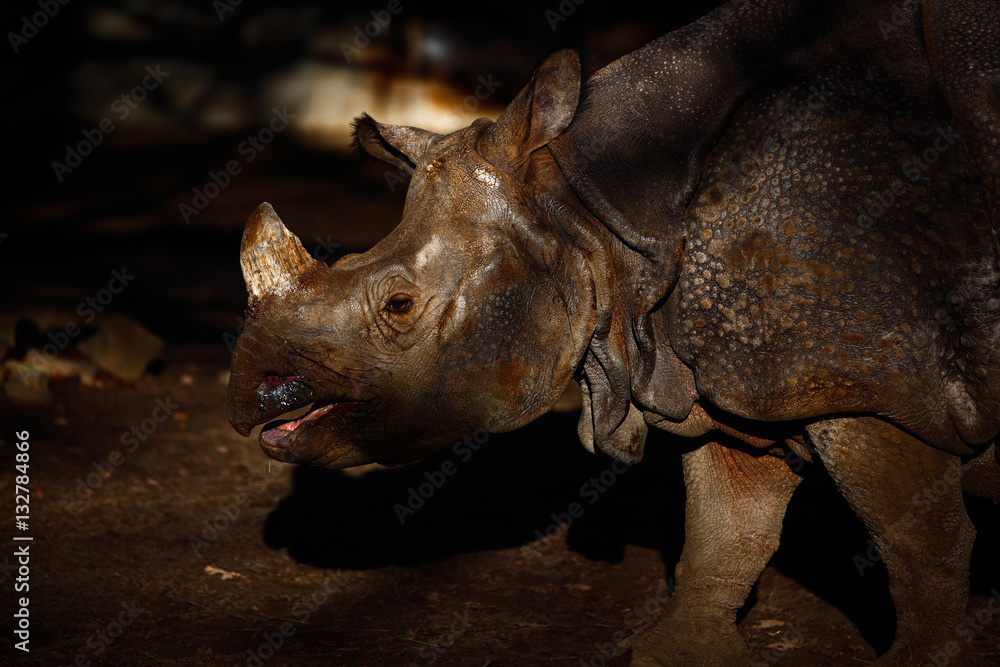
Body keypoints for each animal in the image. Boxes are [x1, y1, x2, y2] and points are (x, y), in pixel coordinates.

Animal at [227, 0, 1000, 663]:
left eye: (398, 306)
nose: (251, 398)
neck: (597, 210)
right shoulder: (742, 370)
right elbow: (726, 528)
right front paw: (679, 654)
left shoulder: (859, 380)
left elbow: (919, 546)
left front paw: (916, 660)